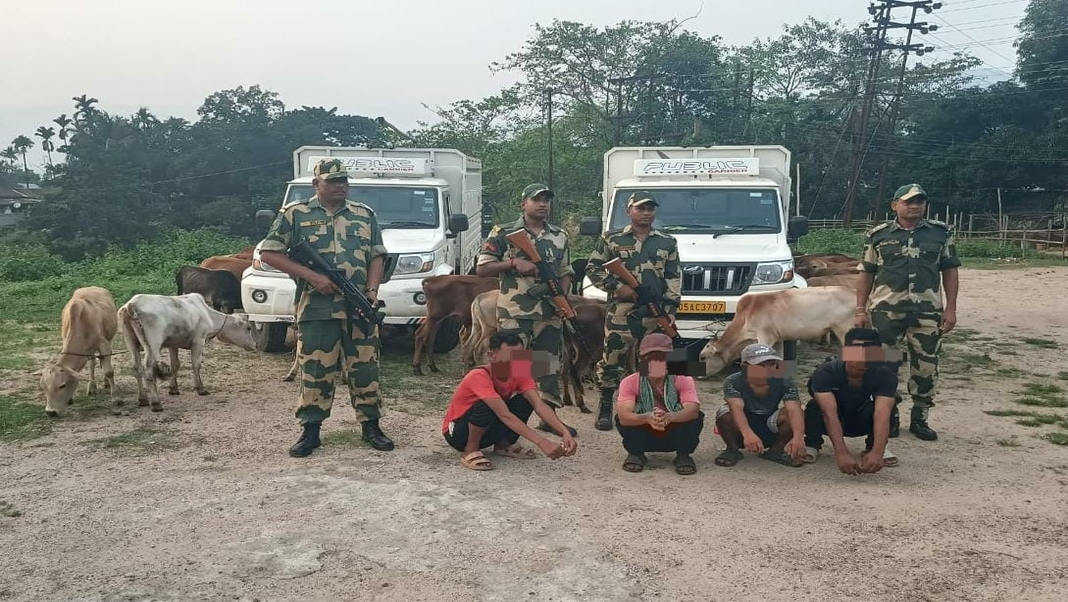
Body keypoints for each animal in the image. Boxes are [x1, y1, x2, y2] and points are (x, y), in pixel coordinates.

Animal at [39, 283, 118, 416]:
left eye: (62, 386)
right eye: (44, 386)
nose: (51, 412)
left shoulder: (103, 343)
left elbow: (108, 371)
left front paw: (116, 398)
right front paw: (71, 398)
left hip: (110, 336)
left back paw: (106, 383)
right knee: (92, 363)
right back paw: (92, 387)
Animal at [118, 294, 257, 412]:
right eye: (248, 328)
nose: (254, 345)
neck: (206, 314)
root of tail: (132, 304)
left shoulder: (173, 344)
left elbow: (175, 364)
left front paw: (174, 388)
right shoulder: (198, 341)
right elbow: (196, 364)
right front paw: (200, 388)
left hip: (130, 341)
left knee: (137, 368)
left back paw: (143, 399)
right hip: (153, 344)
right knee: (148, 369)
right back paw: (156, 403)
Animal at [696, 286, 854, 375]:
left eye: (703, 357)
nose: (698, 375)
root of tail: (852, 291)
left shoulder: (765, 337)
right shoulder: (778, 339)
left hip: (844, 331)